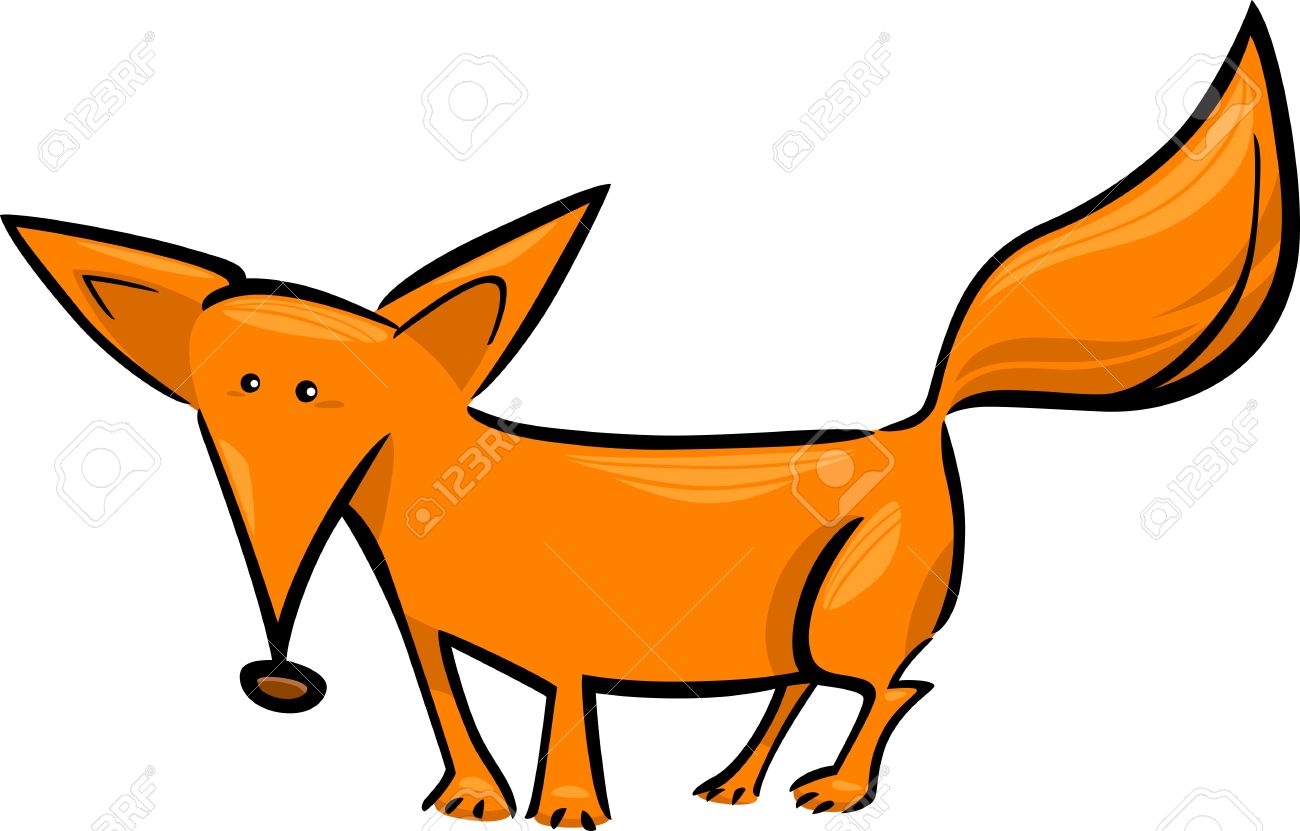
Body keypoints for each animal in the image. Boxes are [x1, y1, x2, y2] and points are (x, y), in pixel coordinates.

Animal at [5, 6, 1296, 828]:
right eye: (231, 390)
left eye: (312, 393)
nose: (277, 673)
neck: (431, 493)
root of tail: (916, 422)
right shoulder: (424, 634)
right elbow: (450, 712)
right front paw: (471, 802)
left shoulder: (572, 643)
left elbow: (566, 723)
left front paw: (568, 811)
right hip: (796, 620)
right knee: (798, 688)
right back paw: (733, 782)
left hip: (852, 609)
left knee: (890, 689)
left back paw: (838, 791)